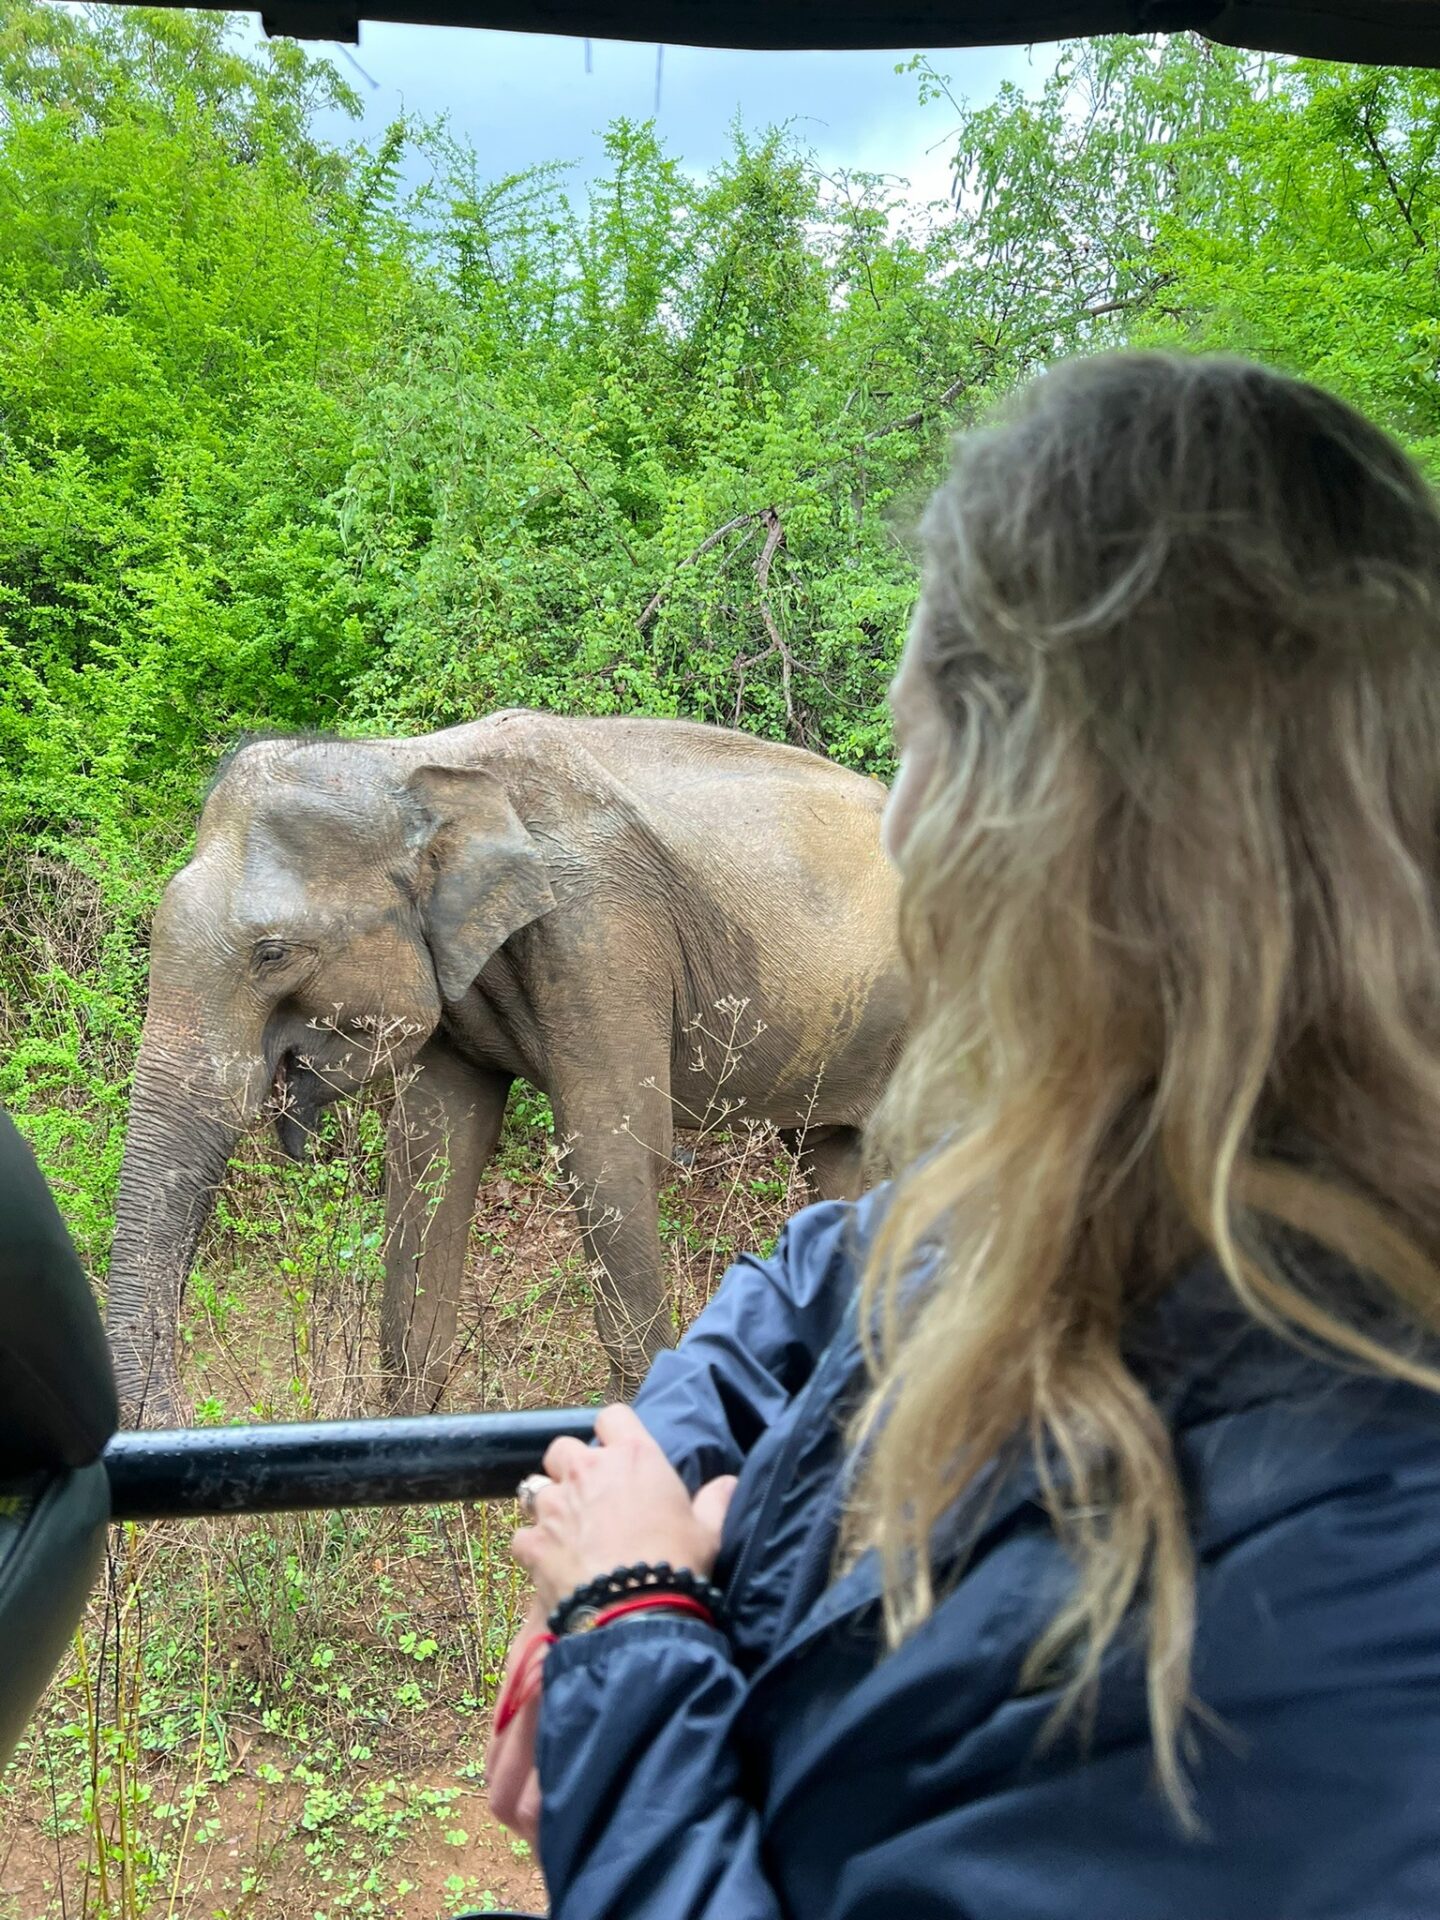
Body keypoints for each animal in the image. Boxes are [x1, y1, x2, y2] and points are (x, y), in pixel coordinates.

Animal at [105, 708, 906, 1426]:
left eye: (272, 953)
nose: (180, 1414)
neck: (416, 762)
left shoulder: (601, 932)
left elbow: (611, 1152)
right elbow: (434, 1152)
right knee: (835, 1160)